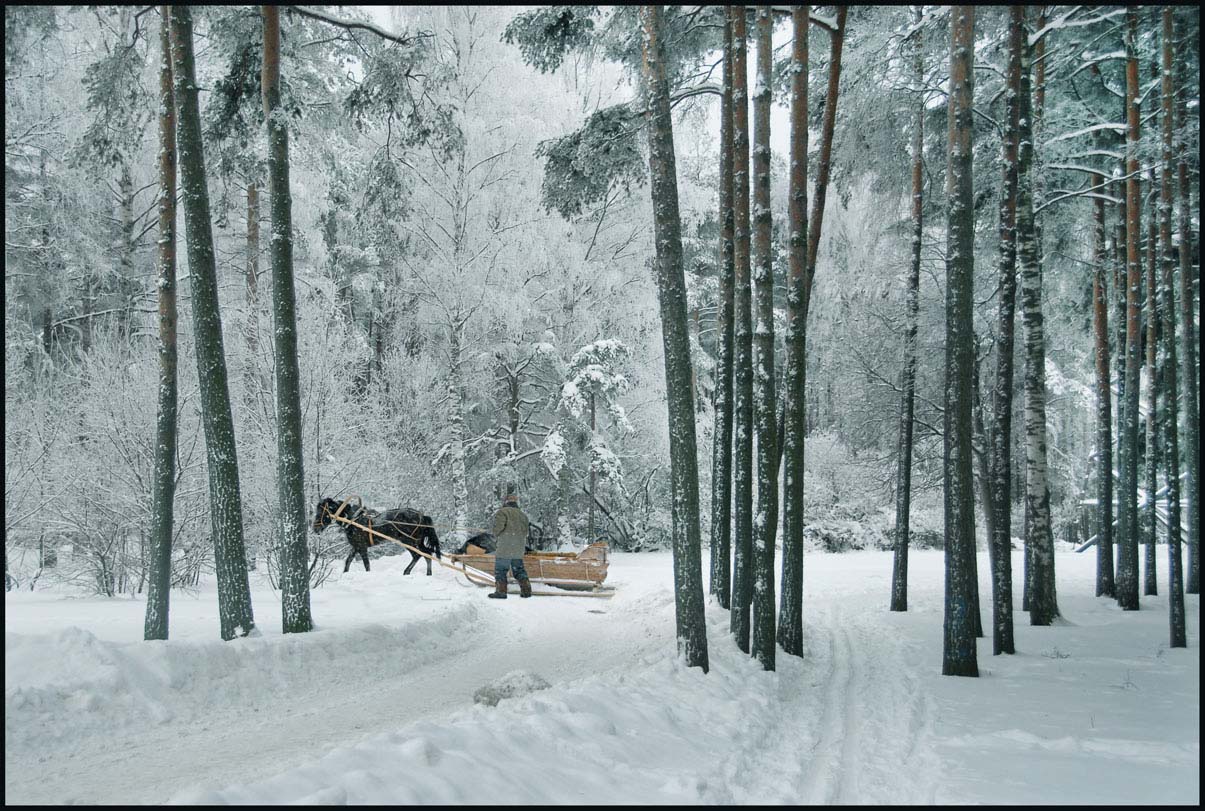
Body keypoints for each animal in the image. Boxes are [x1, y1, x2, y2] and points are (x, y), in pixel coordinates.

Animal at [310, 496, 443, 573]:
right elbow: (348, 562)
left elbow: (366, 565)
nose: (315, 528)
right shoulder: (355, 546)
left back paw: (406, 572)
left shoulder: (362, 547)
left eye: (322, 512)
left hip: (408, 541)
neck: (353, 520)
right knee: (427, 554)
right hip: (415, 541)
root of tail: (422, 516)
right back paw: (428, 574)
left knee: (418, 555)